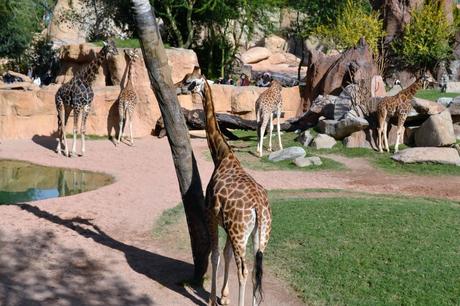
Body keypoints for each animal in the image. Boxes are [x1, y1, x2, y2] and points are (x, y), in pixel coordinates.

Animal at [180, 74, 272, 306]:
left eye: (189, 82)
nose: (178, 87)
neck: (222, 156)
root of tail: (258, 208)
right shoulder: (227, 225)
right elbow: (226, 253)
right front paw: (224, 296)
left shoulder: (211, 215)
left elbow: (215, 255)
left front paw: (214, 298)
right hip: (260, 235)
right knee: (257, 270)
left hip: (240, 233)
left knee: (244, 271)